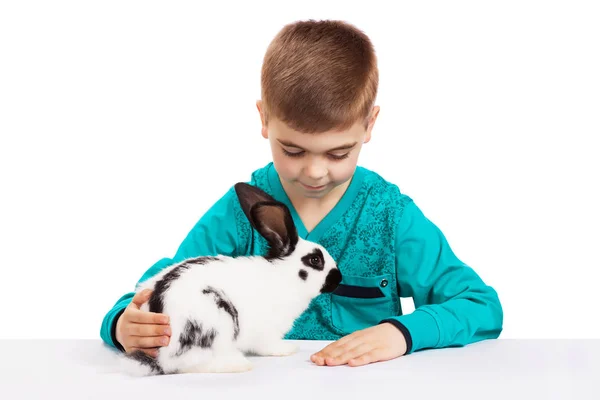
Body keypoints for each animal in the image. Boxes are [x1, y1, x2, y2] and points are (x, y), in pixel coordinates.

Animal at [119, 181, 342, 376]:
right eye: (315, 260)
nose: (338, 278)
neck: (284, 275)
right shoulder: (266, 331)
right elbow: (268, 345)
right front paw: (286, 349)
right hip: (216, 317)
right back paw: (237, 364)